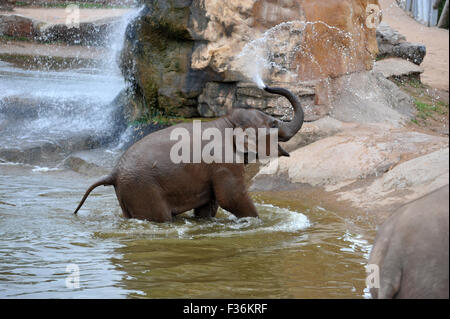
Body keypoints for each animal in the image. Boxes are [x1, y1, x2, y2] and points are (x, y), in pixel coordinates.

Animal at [74, 86, 306, 224]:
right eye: (273, 124)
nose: (266, 86)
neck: (227, 121)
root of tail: (113, 173)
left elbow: (209, 205)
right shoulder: (224, 162)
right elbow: (232, 197)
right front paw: (258, 222)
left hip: (128, 191)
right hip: (143, 188)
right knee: (159, 217)